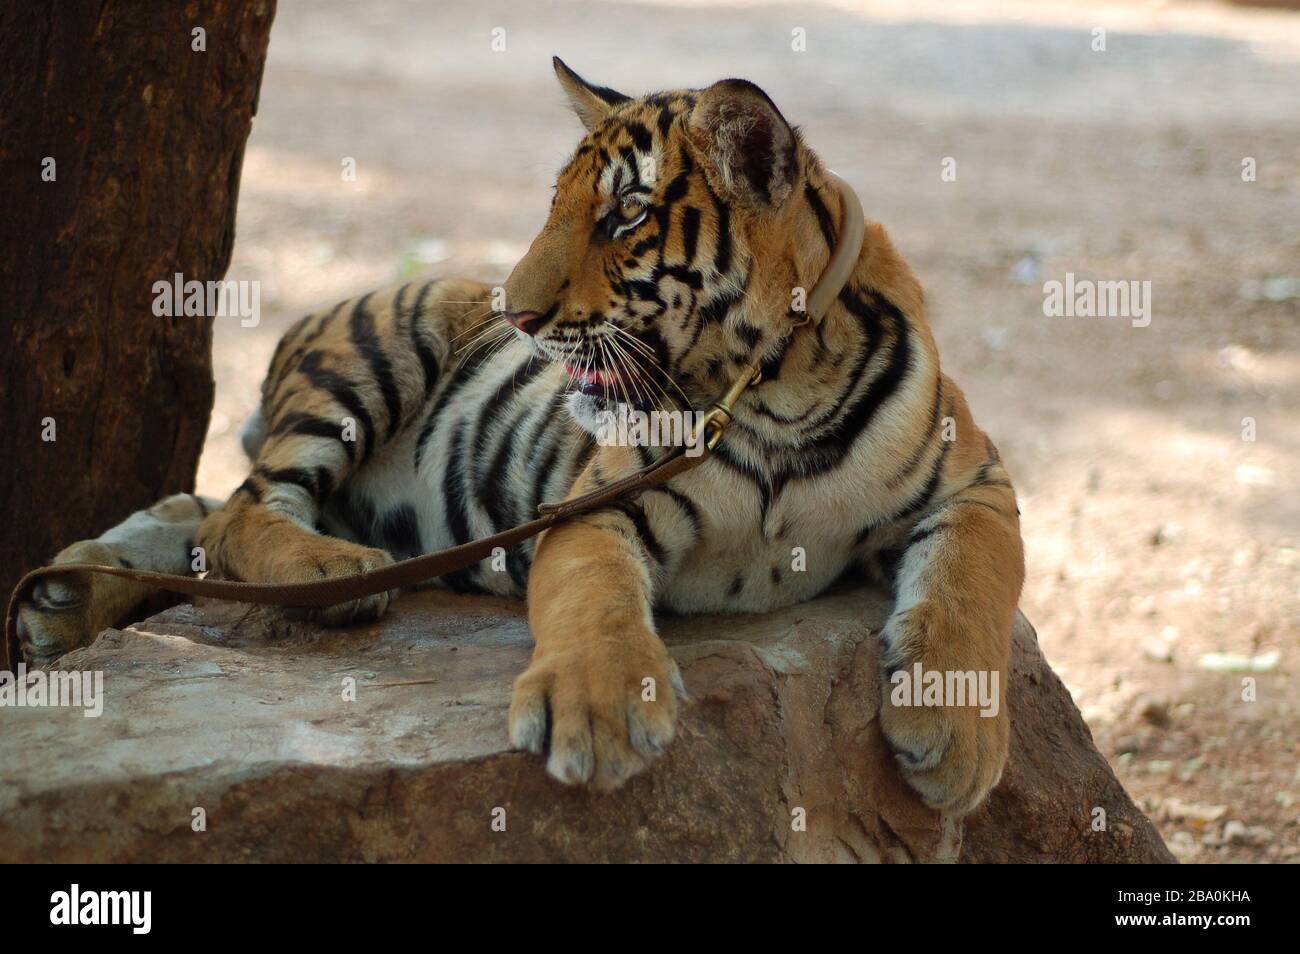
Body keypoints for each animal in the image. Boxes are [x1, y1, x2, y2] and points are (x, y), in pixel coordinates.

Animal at [15, 57, 1019, 816]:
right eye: (557, 205)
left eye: (625, 215)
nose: (518, 315)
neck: (775, 396)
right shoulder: (596, 508)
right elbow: (594, 601)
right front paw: (599, 714)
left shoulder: (977, 479)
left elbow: (971, 586)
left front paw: (954, 735)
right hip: (376, 353)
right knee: (242, 510)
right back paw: (326, 577)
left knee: (202, 510)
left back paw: (64, 596)